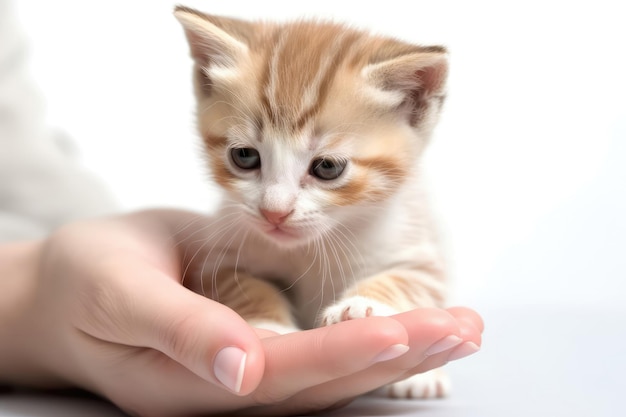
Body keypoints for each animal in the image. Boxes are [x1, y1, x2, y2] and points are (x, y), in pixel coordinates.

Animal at [174, 5, 448, 396]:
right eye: (244, 156)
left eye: (328, 167)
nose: (274, 212)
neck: (311, 247)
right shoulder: (219, 257)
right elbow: (246, 285)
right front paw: (269, 325)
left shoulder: (420, 256)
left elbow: (404, 281)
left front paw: (360, 306)